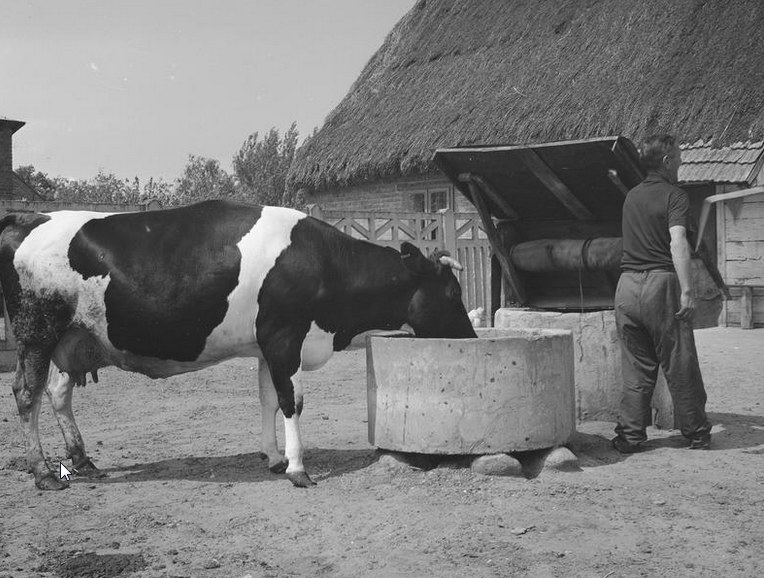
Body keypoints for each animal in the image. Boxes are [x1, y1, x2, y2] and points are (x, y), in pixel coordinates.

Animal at [0, 198, 478, 486]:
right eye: (453, 293)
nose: (472, 338)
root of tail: (29, 217)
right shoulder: (285, 337)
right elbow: (291, 402)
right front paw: (298, 468)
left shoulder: (267, 345)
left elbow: (268, 400)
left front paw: (273, 458)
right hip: (36, 332)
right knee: (27, 393)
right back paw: (43, 473)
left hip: (76, 340)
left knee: (58, 393)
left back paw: (82, 461)